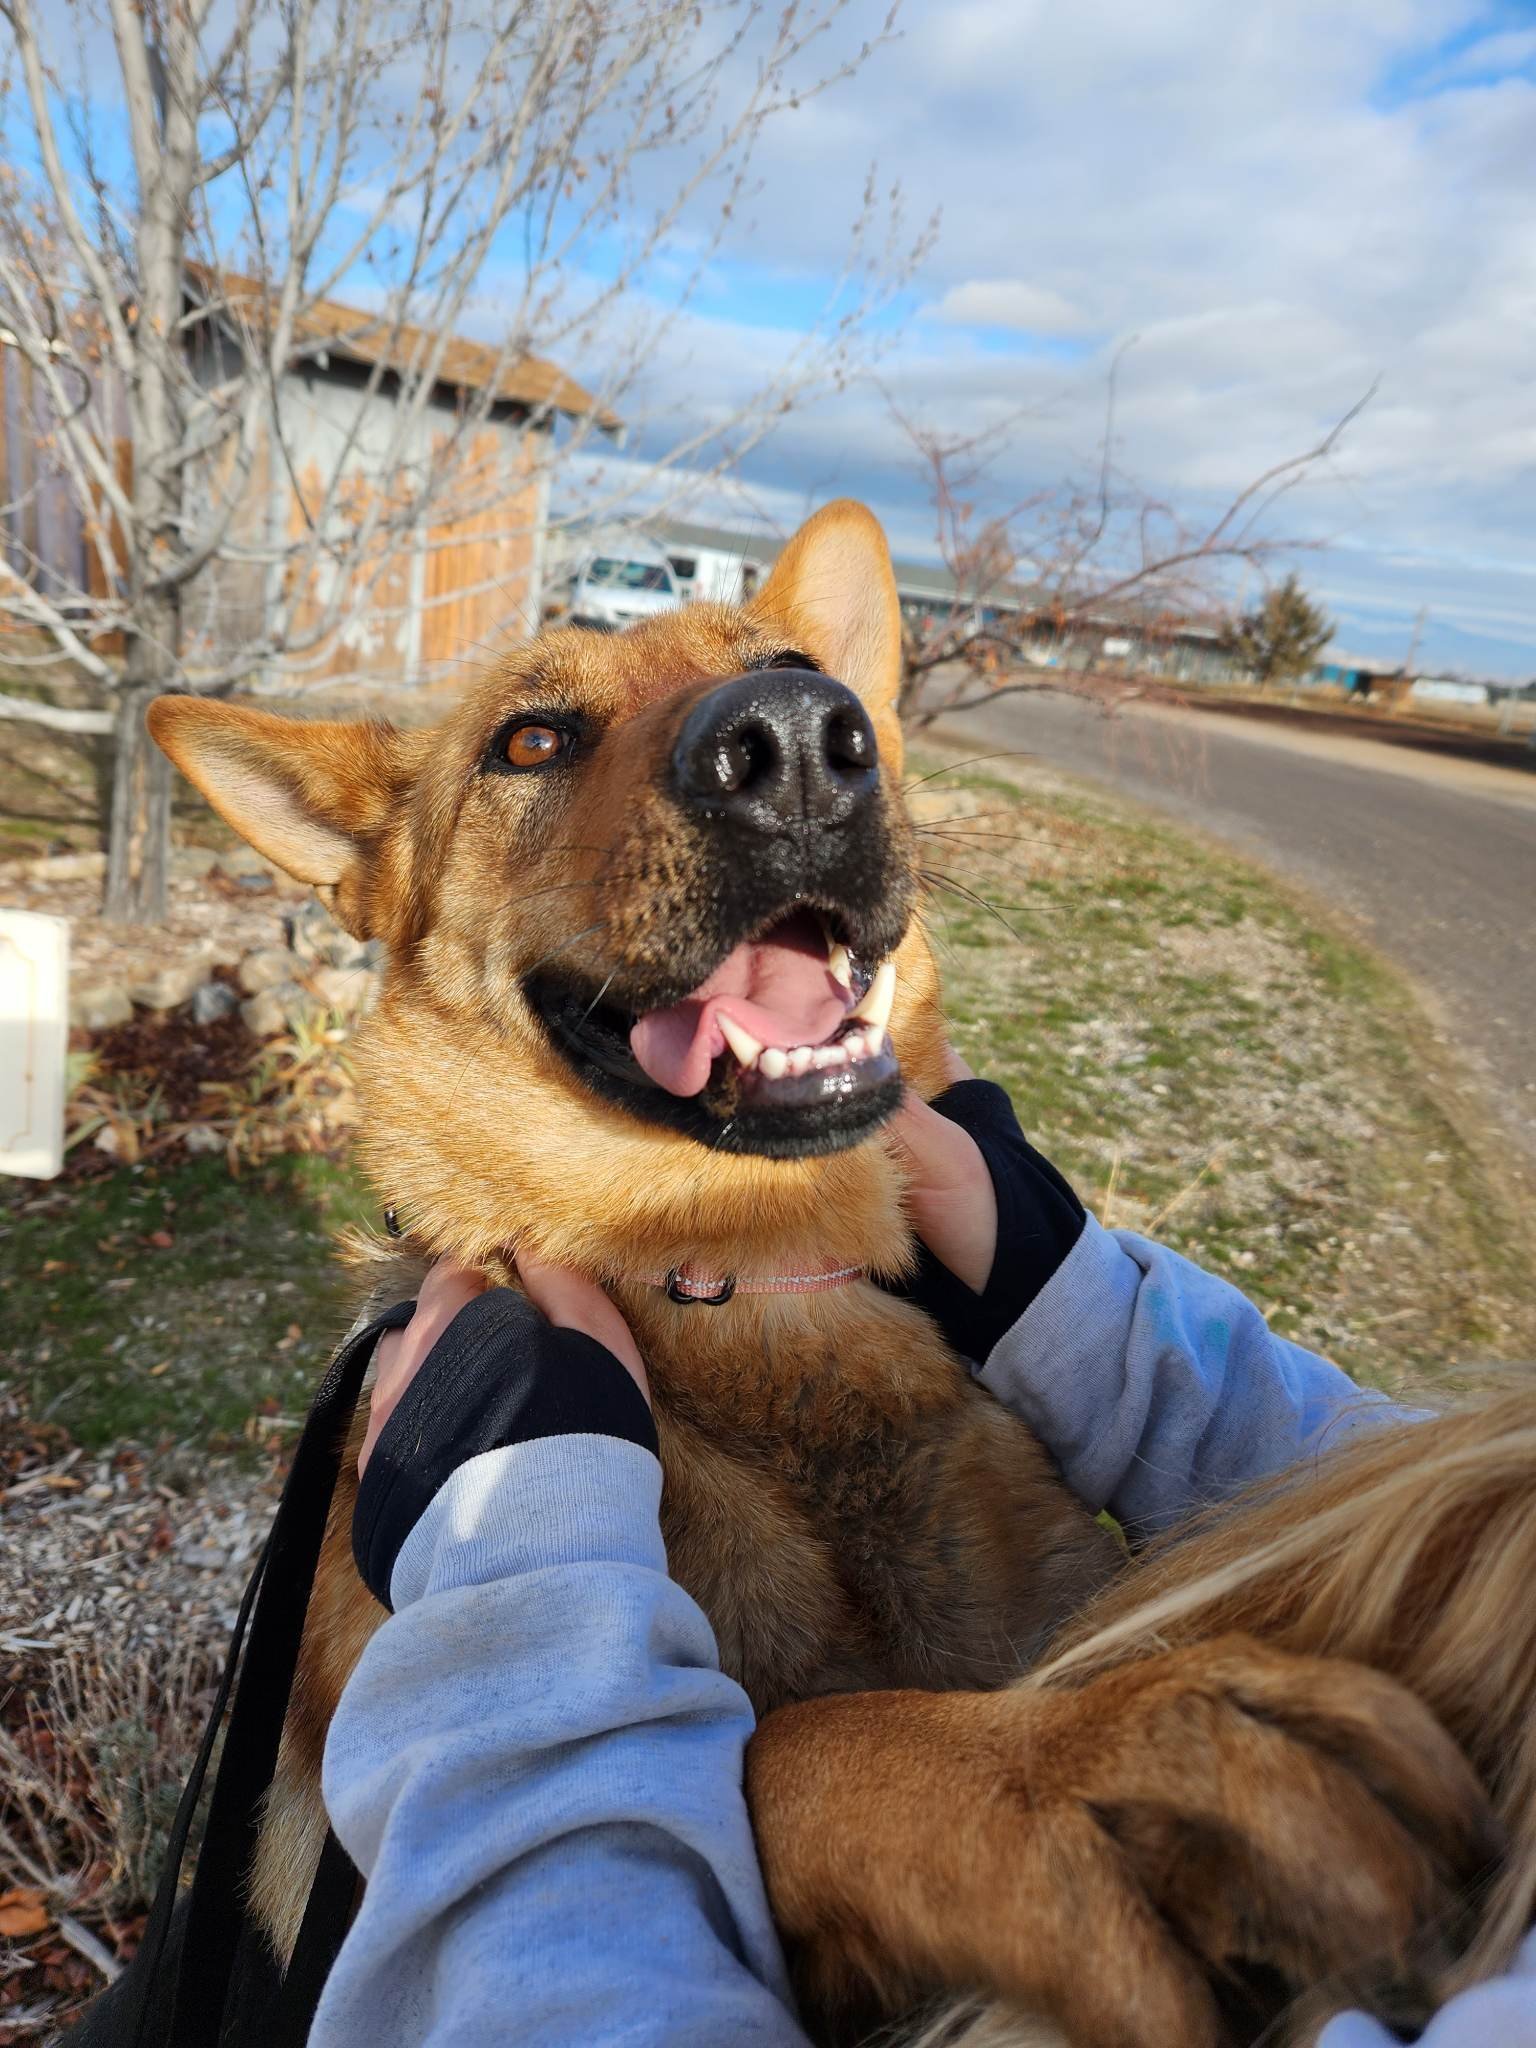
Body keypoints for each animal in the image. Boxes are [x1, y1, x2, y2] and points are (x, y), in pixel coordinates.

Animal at [153, 499, 1536, 2048]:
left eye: (793, 667)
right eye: (531, 739)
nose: (799, 743)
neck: (741, 1281)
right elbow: (792, 1749)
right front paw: (1068, 1767)